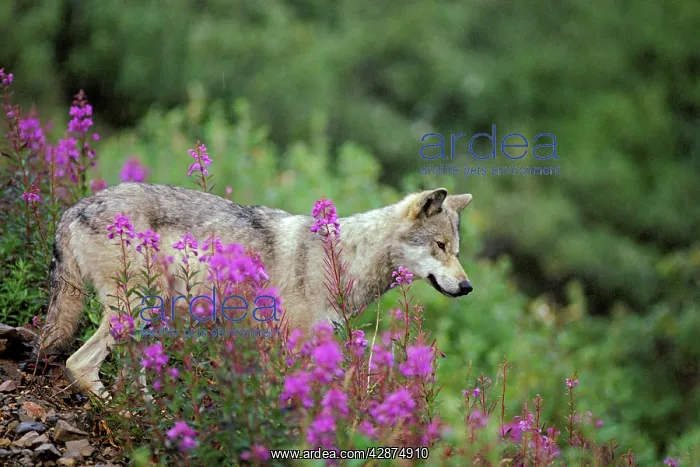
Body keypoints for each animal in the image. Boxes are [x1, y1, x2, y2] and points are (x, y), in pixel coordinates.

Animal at [39, 183, 474, 397]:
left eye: (456, 250)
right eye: (439, 246)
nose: (467, 286)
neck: (342, 259)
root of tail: (73, 208)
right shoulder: (290, 343)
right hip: (140, 309)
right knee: (78, 364)